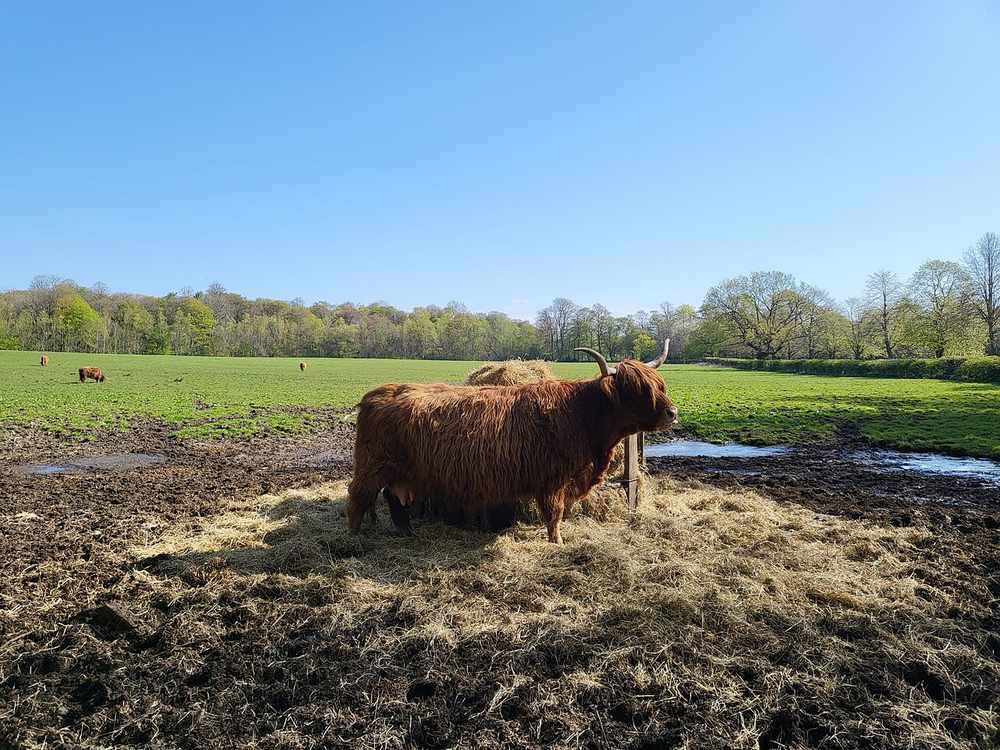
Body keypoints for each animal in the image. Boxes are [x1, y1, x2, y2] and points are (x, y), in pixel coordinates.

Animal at [347, 341, 677, 543]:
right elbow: (555, 515)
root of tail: (376, 393)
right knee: (358, 497)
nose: (672, 413)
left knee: (393, 497)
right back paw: (353, 538)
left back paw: (407, 532)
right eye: (636, 390)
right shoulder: (552, 481)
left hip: (399, 472)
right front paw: (557, 542)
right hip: (371, 466)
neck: (581, 414)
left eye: (660, 386)